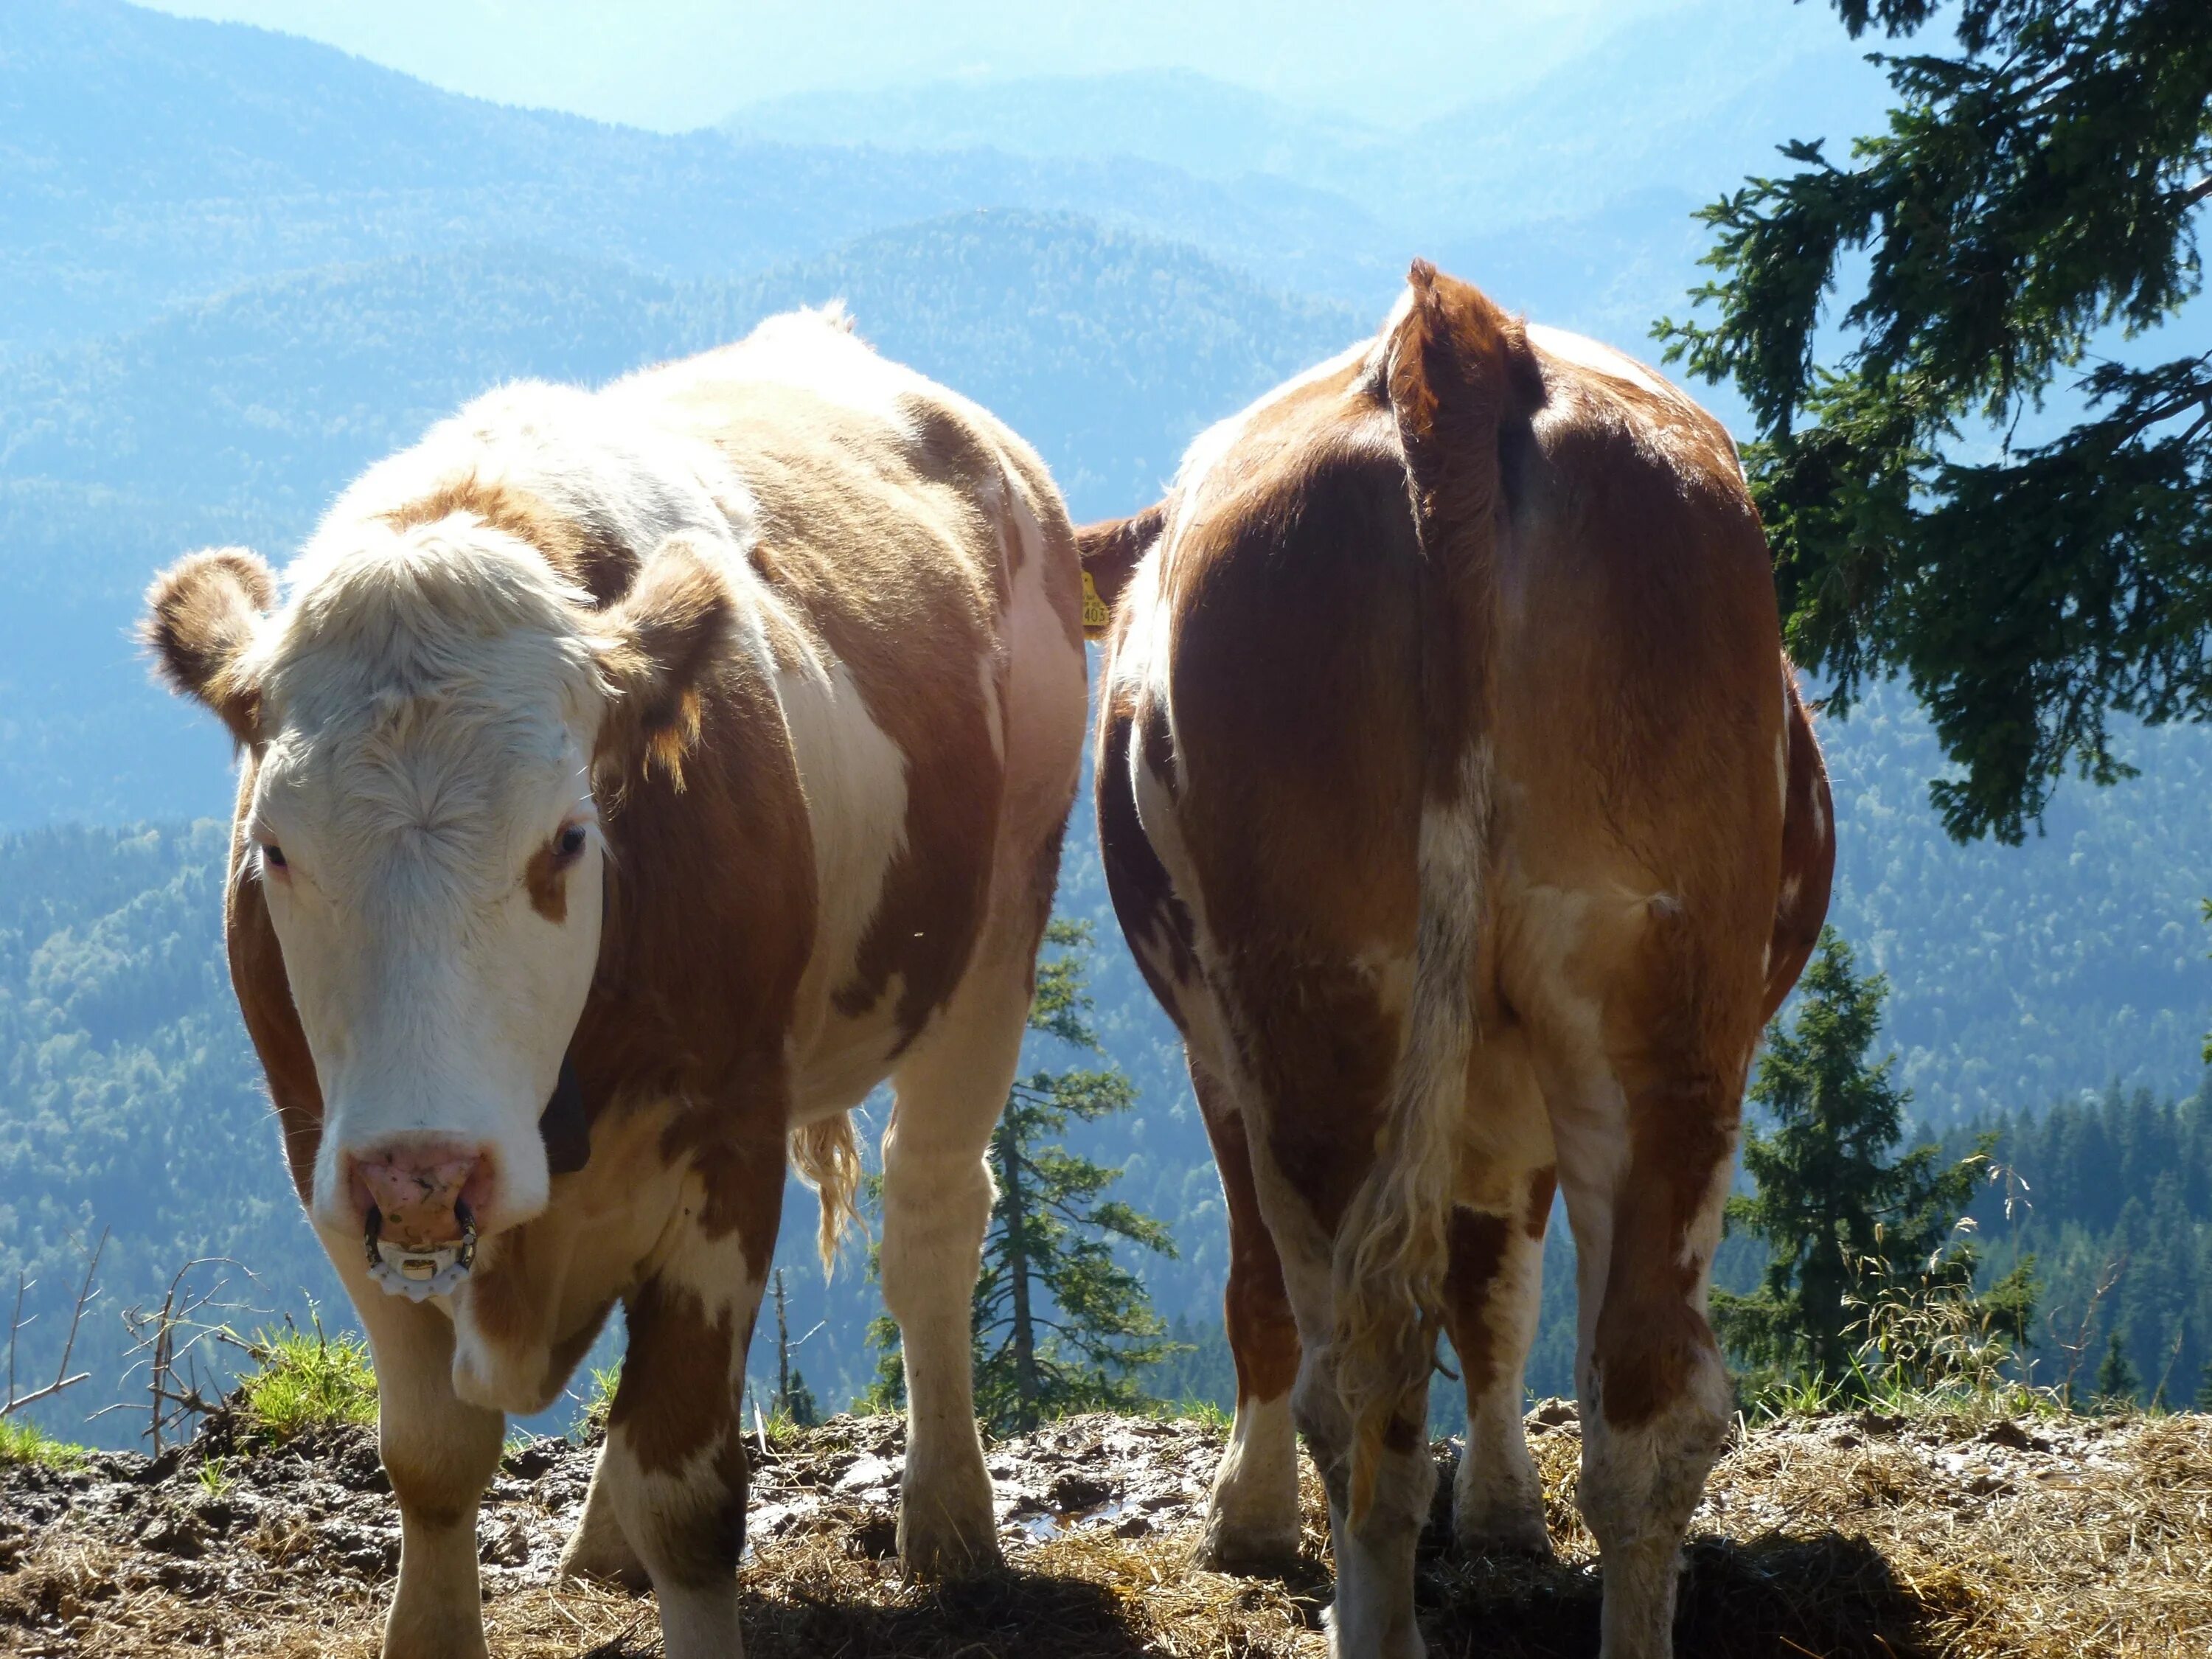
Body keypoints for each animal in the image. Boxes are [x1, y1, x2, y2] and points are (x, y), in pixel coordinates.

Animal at [138, 310, 1088, 1659]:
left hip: (1002, 924)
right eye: (273, 847)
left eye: (568, 839)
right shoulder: (321, 1152)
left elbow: (690, 1495)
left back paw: (953, 1525)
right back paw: (603, 1543)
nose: (422, 1167)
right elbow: (432, 1455)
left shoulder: (729, 1140)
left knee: (935, 1220)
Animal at [1084, 266, 1832, 1655]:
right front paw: (1496, 1508)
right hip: (1664, 1012)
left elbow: (1293, 1290)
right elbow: (1494, 1290)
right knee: (1640, 1398)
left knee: (1367, 1378)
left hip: (1317, 1017)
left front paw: (1252, 1518)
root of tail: (1457, 336)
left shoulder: (1217, 1059)